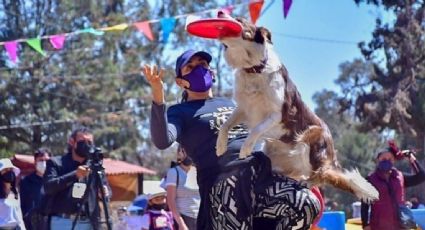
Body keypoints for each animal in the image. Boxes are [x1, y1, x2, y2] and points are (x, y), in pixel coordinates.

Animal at [215, 13, 378, 202]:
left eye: (240, 20)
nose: (220, 13)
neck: (254, 69)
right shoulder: (243, 108)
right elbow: (225, 125)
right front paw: (220, 146)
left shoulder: (277, 113)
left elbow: (256, 129)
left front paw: (245, 149)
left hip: (311, 136)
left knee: (321, 174)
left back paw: (308, 182)